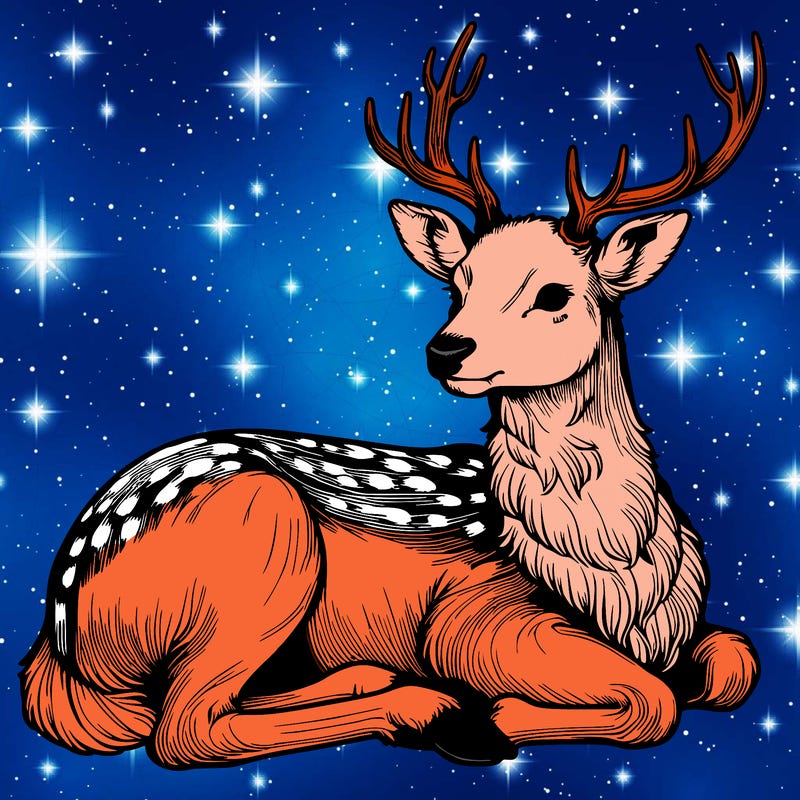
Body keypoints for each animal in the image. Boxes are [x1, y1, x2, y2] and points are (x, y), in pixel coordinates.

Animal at [20, 23, 765, 769]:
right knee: (182, 727)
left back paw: (375, 679)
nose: (446, 349)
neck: (619, 580)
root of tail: (57, 634)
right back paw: (433, 711)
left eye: (555, 293)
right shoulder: (476, 616)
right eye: (459, 283)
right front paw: (494, 716)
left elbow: (735, 659)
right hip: (265, 540)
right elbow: (654, 700)